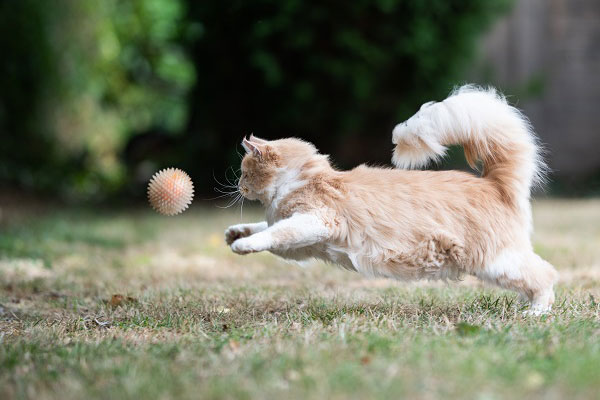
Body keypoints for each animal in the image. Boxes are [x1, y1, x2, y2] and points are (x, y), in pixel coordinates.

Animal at [224, 86, 556, 314]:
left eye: (244, 172)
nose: (238, 185)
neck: (302, 178)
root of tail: (493, 183)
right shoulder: (301, 246)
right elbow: (265, 227)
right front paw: (235, 233)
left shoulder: (315, 221)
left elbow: (273, 233)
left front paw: (242, 245)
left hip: (498, 263)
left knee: (545, 275)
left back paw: (536, 313)